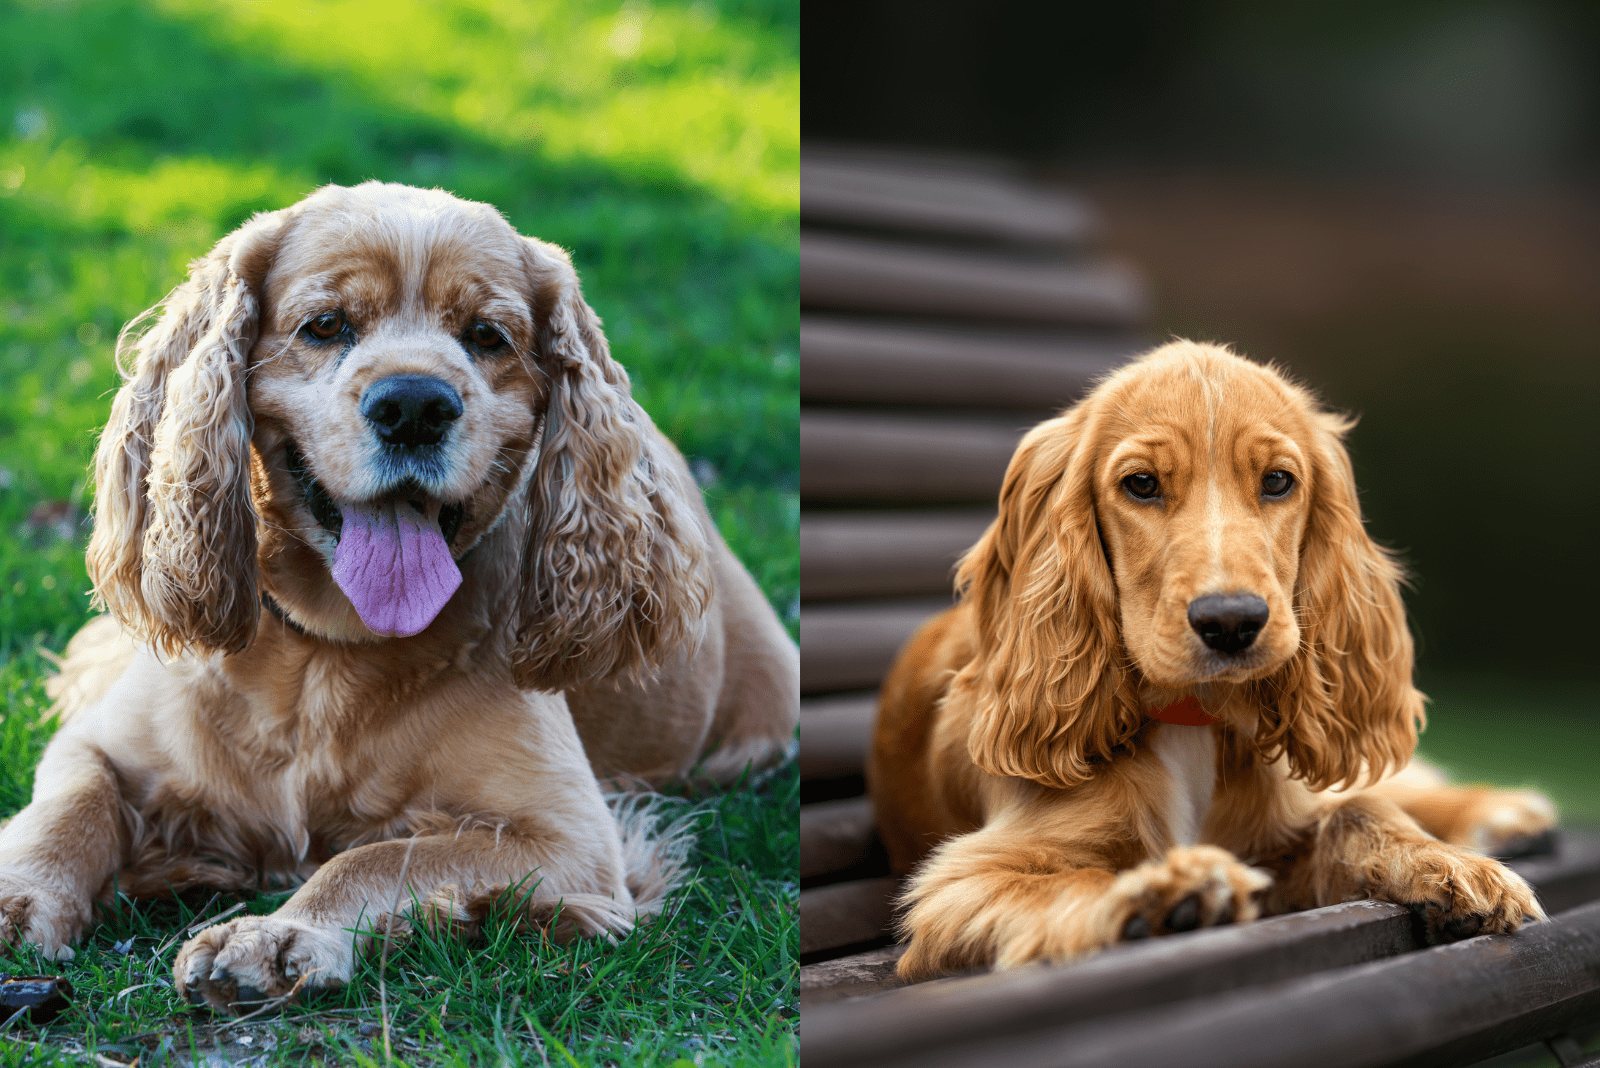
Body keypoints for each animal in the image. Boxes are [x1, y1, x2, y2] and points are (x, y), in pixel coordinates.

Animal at [0, 181, 800, 1010]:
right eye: (326, 325)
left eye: (486, 336)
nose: (414, 405)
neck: (327, 653)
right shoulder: (99, 745)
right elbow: (68, 806)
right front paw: (19, 896)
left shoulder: (572, 838)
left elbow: (378, 858)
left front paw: (277, 936)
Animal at [870, 340, 1555, 978]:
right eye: (1141, 484)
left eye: (1277, 480)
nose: (1231, 622)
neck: (1190, 718)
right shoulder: (963, 883)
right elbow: (1066, 882)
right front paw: (1162, 894)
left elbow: (1358, 810)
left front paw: (1452, 865)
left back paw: (1498, 813)